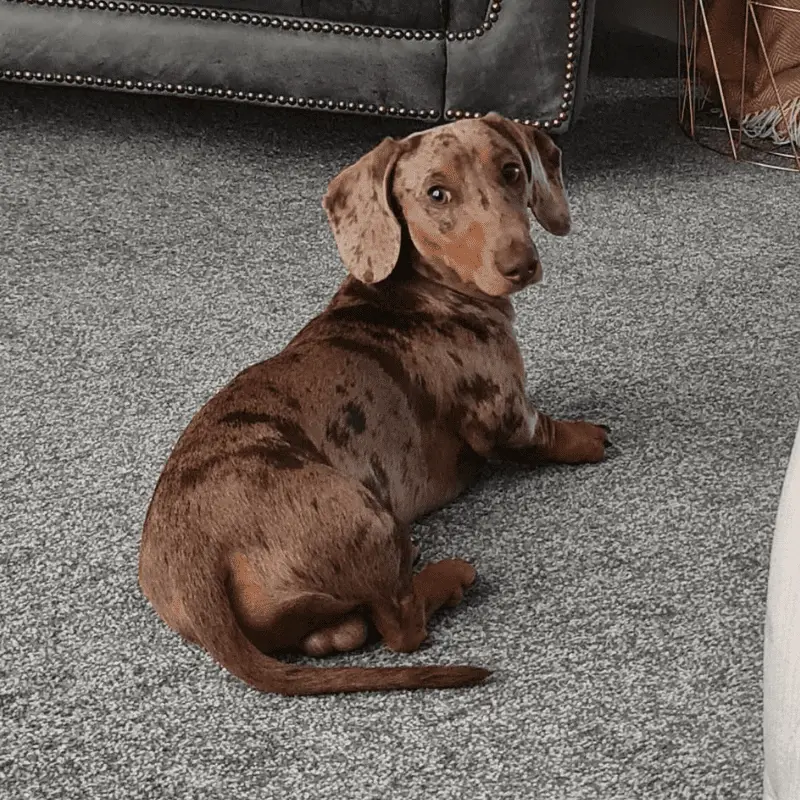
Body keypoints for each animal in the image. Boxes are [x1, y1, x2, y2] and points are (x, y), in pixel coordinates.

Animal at [141, 111, 608, 692]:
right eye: (436, 193)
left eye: (512, 171)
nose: (521, 264)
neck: (421, 288)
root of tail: (196, 561)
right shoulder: (502, 414)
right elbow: (546, 433)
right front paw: (588, 436)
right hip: (371, 518)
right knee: (401, 626)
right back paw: (445, 576)